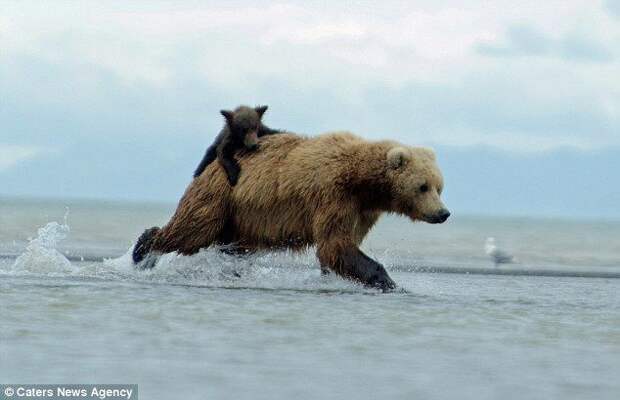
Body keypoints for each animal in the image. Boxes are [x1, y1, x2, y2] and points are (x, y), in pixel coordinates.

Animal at [132, 132, 450, 290]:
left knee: (232, 247)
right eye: (423, 186)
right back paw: (143, 252)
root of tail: (212, 164)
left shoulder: (362, 211)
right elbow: (335, 245)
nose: (443, 213)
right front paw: (390, 281)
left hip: (242, 220)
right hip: (221, 198)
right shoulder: (333, 195)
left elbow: (340, 248)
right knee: (191, 230)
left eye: (439, 186)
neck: (363, 183)